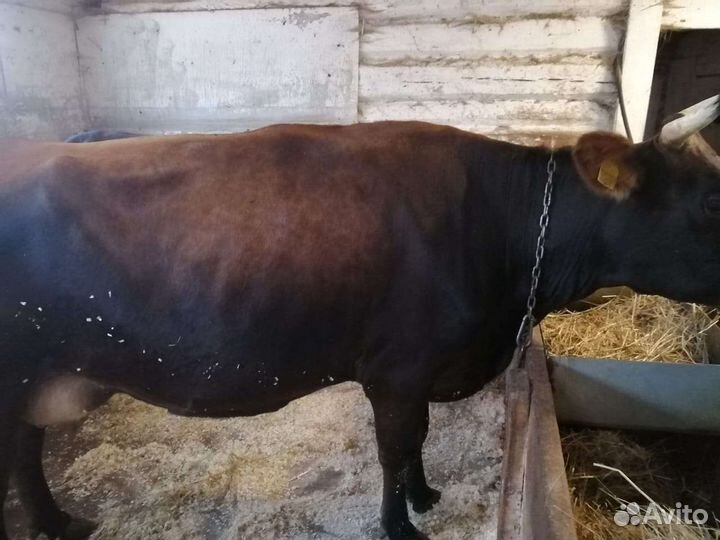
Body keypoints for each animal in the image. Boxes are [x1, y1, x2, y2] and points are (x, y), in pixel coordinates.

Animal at [1, 94, 720, 540]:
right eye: (707, 205)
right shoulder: (397, 371)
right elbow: (395, 449)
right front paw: (399, 524)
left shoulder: (423, 370)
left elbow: (418, 442)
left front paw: (426, 497)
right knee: (21, 452)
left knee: (25, 451)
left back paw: (58, 523)